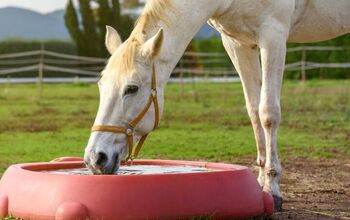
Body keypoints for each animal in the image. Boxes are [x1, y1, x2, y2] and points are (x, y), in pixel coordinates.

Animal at [85, 0, 350, 211]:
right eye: (101, 84)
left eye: (131, 89)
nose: (95, 158)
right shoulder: (238, 43)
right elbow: (254, 110)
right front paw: (261, 182)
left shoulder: (273, 36)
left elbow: (268, 113)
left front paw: (273, 189)